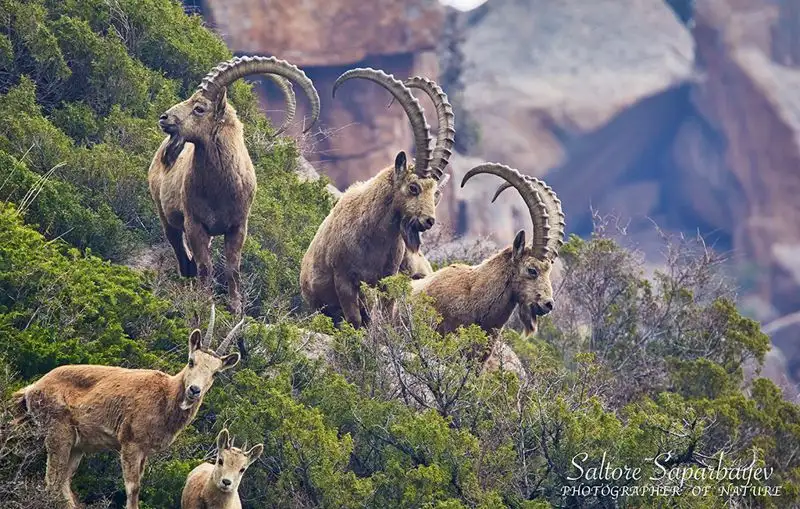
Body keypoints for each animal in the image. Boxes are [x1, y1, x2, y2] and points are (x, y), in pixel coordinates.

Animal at [10, 306, 244, 508]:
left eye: (215, 373)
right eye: (191, 360)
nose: (194, 390)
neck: (165, 398)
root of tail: (32, 389)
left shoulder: (145, 451)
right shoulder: (131, 442)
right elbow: (133, 489)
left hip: (77, 444)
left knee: (62, 482)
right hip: (58, 431)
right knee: (52, 479)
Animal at [150, 58, 318, 314]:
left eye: (200, 108)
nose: (164, 118)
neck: (219, 190)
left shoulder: (238, 226)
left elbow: (232, 268)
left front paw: (236, 306)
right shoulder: (195, 224)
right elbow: (206, 266)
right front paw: (205, 300)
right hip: (166, 216)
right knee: (181, 251)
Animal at [300, 69, 454, 328]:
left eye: (434, 192)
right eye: (413, 187)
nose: (429, 221)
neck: (373, 237)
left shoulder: (387, 279)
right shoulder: (344, 279)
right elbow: (355, 320)